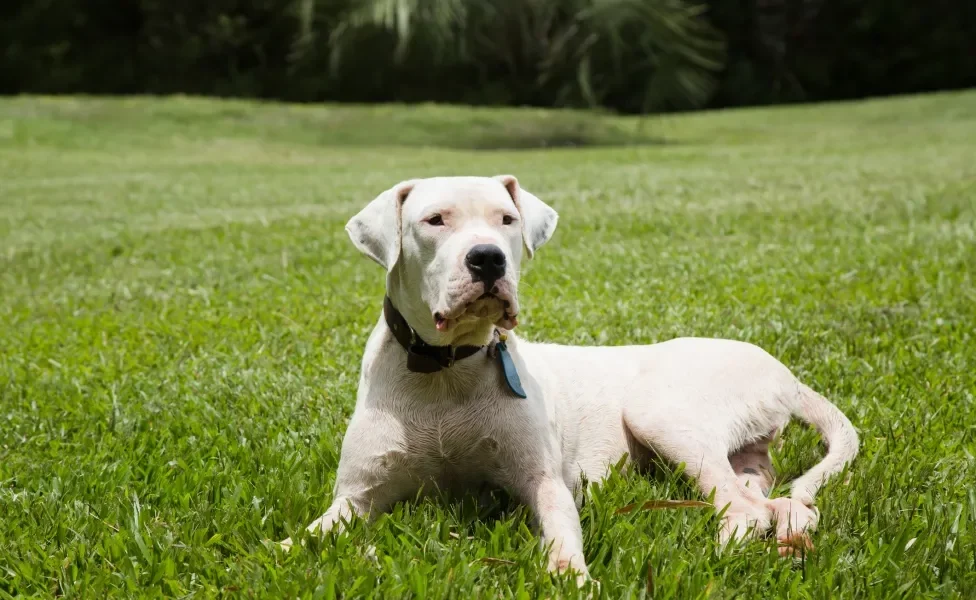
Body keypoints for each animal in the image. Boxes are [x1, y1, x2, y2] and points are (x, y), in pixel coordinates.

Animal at [278, 173, 856, 580]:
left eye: (507, 219)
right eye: (434, 220)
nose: (487, 259)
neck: (447, 370)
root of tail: (782, 371)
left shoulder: (544, 481)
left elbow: (560, 535)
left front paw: (571, 576)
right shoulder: (356, 497)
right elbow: (307, 536)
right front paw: (282, 550)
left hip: (659, 412)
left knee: (746, 509)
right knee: (780, 503)